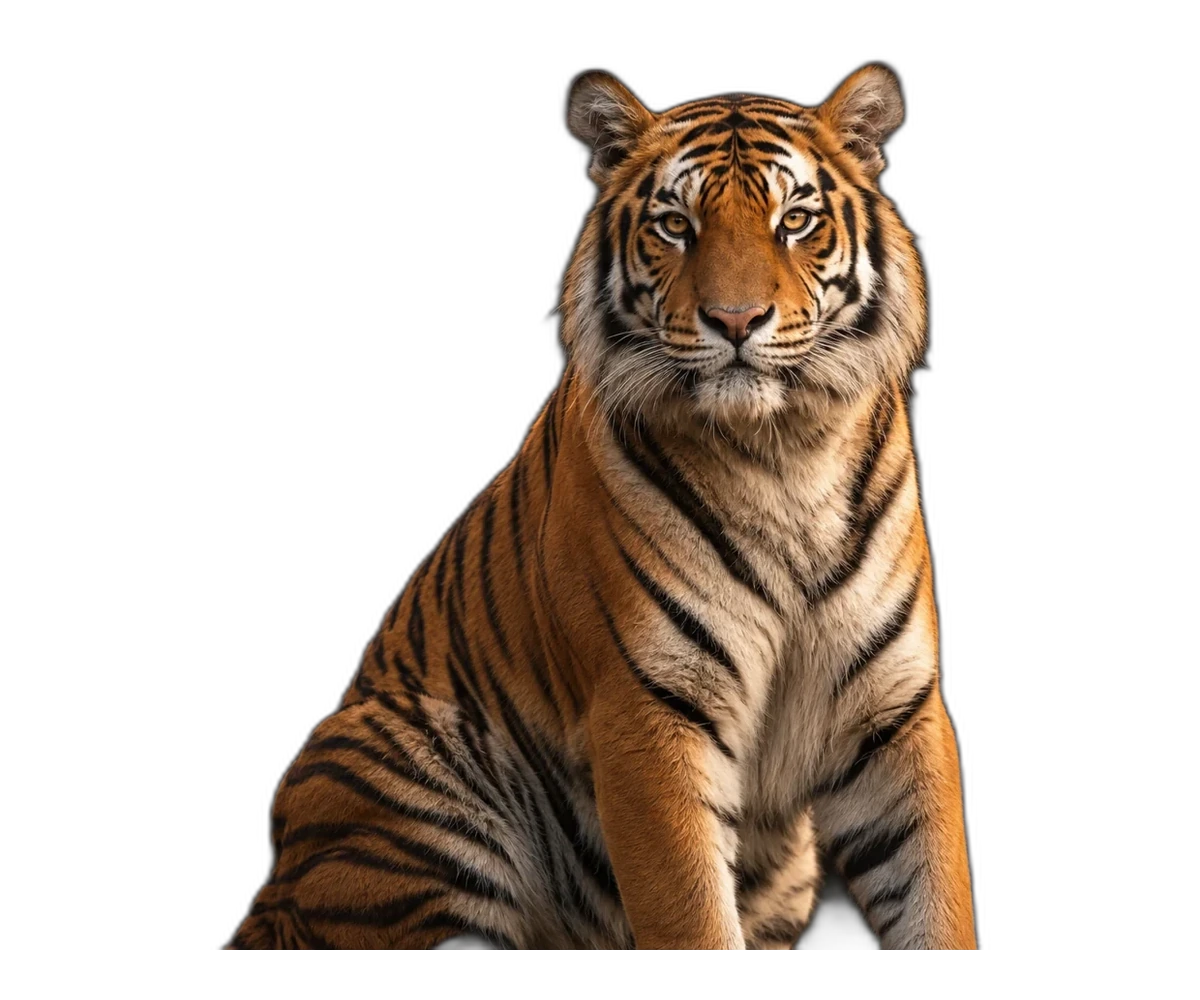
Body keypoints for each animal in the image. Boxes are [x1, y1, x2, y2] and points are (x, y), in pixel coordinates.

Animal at [227, 65, 976, 952]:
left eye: (794, 221)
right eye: (676, 225)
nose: (735, 322)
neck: (782, 453)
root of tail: (274, 891)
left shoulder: (897, 713)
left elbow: (938, 898)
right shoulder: (649, 714)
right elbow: (691, 916)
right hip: (410, 772)